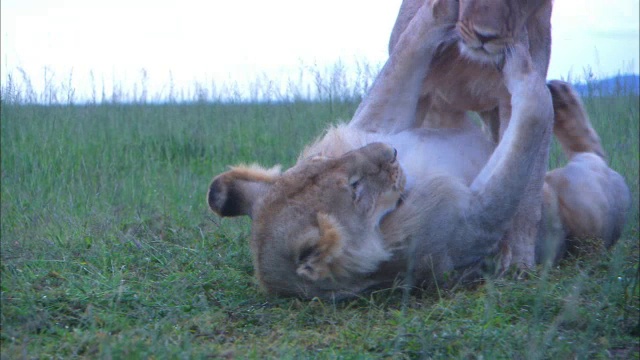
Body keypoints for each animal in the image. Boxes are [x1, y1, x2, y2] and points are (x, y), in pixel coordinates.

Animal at [206, 0, 632, 298]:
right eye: (355, 191)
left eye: (323, 161)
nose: (389, 153)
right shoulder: (469, 221)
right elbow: (529, 117)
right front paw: (522, 64)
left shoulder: (374, 124)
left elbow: (411, 48)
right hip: (590, 198)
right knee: (592, 156)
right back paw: (558, 96)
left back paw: (561, 95)